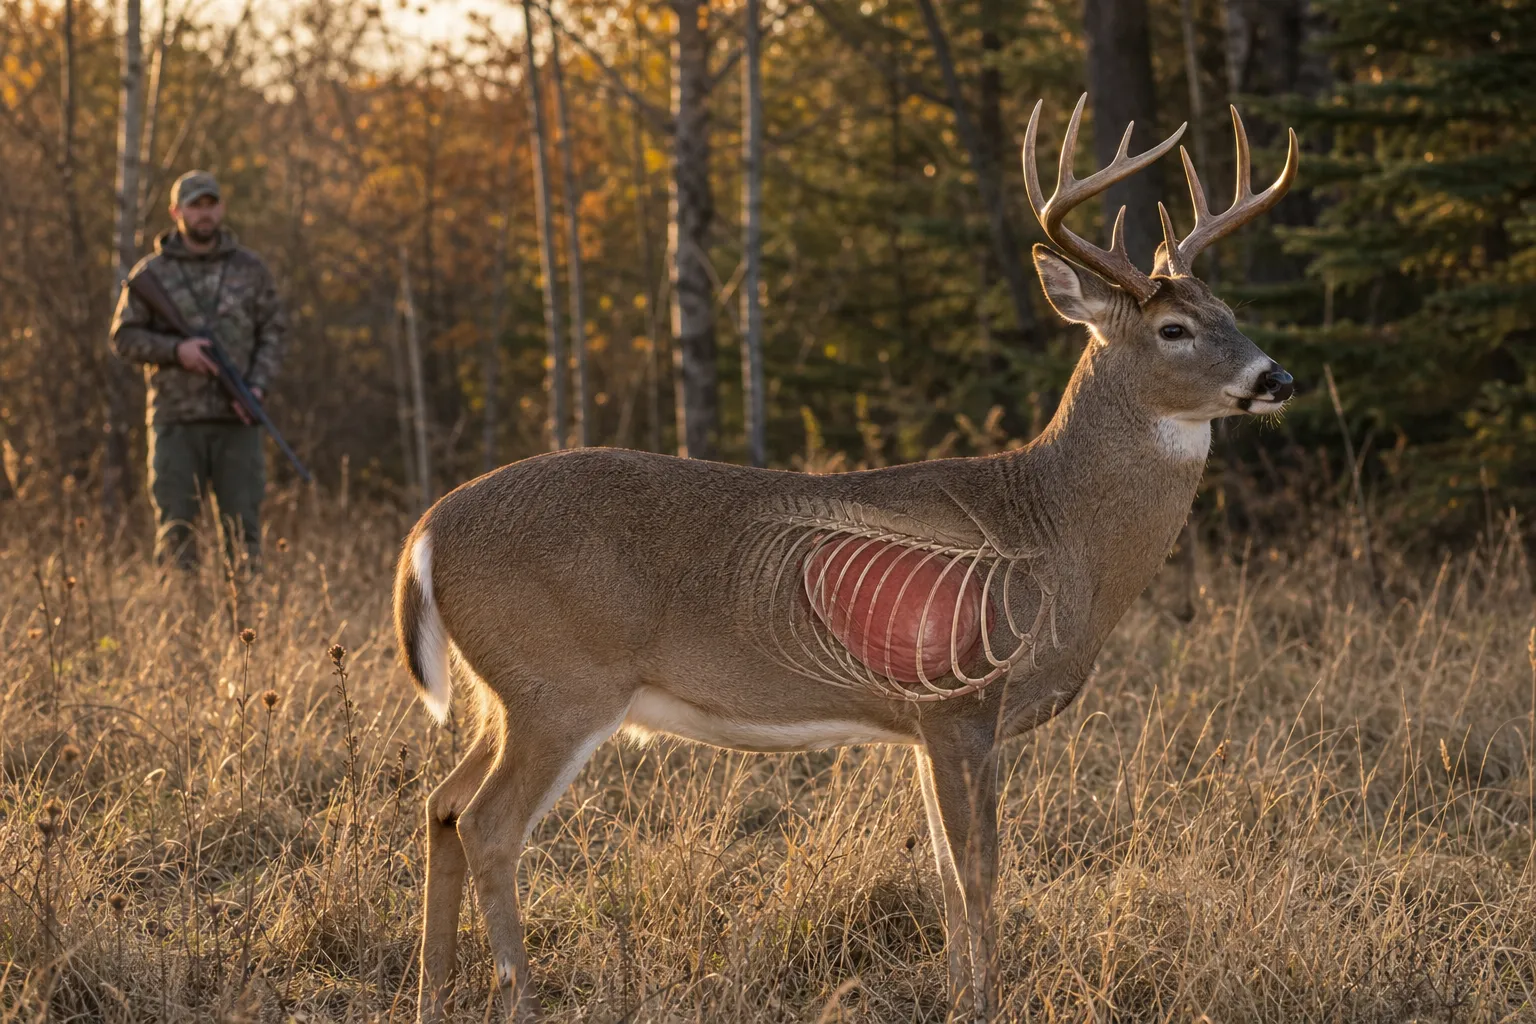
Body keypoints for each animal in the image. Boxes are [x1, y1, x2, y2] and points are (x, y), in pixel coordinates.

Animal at [394, 94, 1299, 1023]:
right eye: (1174, 328)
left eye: (1231, 311)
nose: (1278, 379)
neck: (1054, 528)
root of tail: (428, 531)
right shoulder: (961, 703)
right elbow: (977, 872)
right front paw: (982, 999)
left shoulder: (924, 723)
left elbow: (945, 872)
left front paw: (956, 990)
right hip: (561, 686)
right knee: (488, 825)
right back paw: (517, 994)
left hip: (506, 693)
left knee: (442, 805)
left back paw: (432, 989)